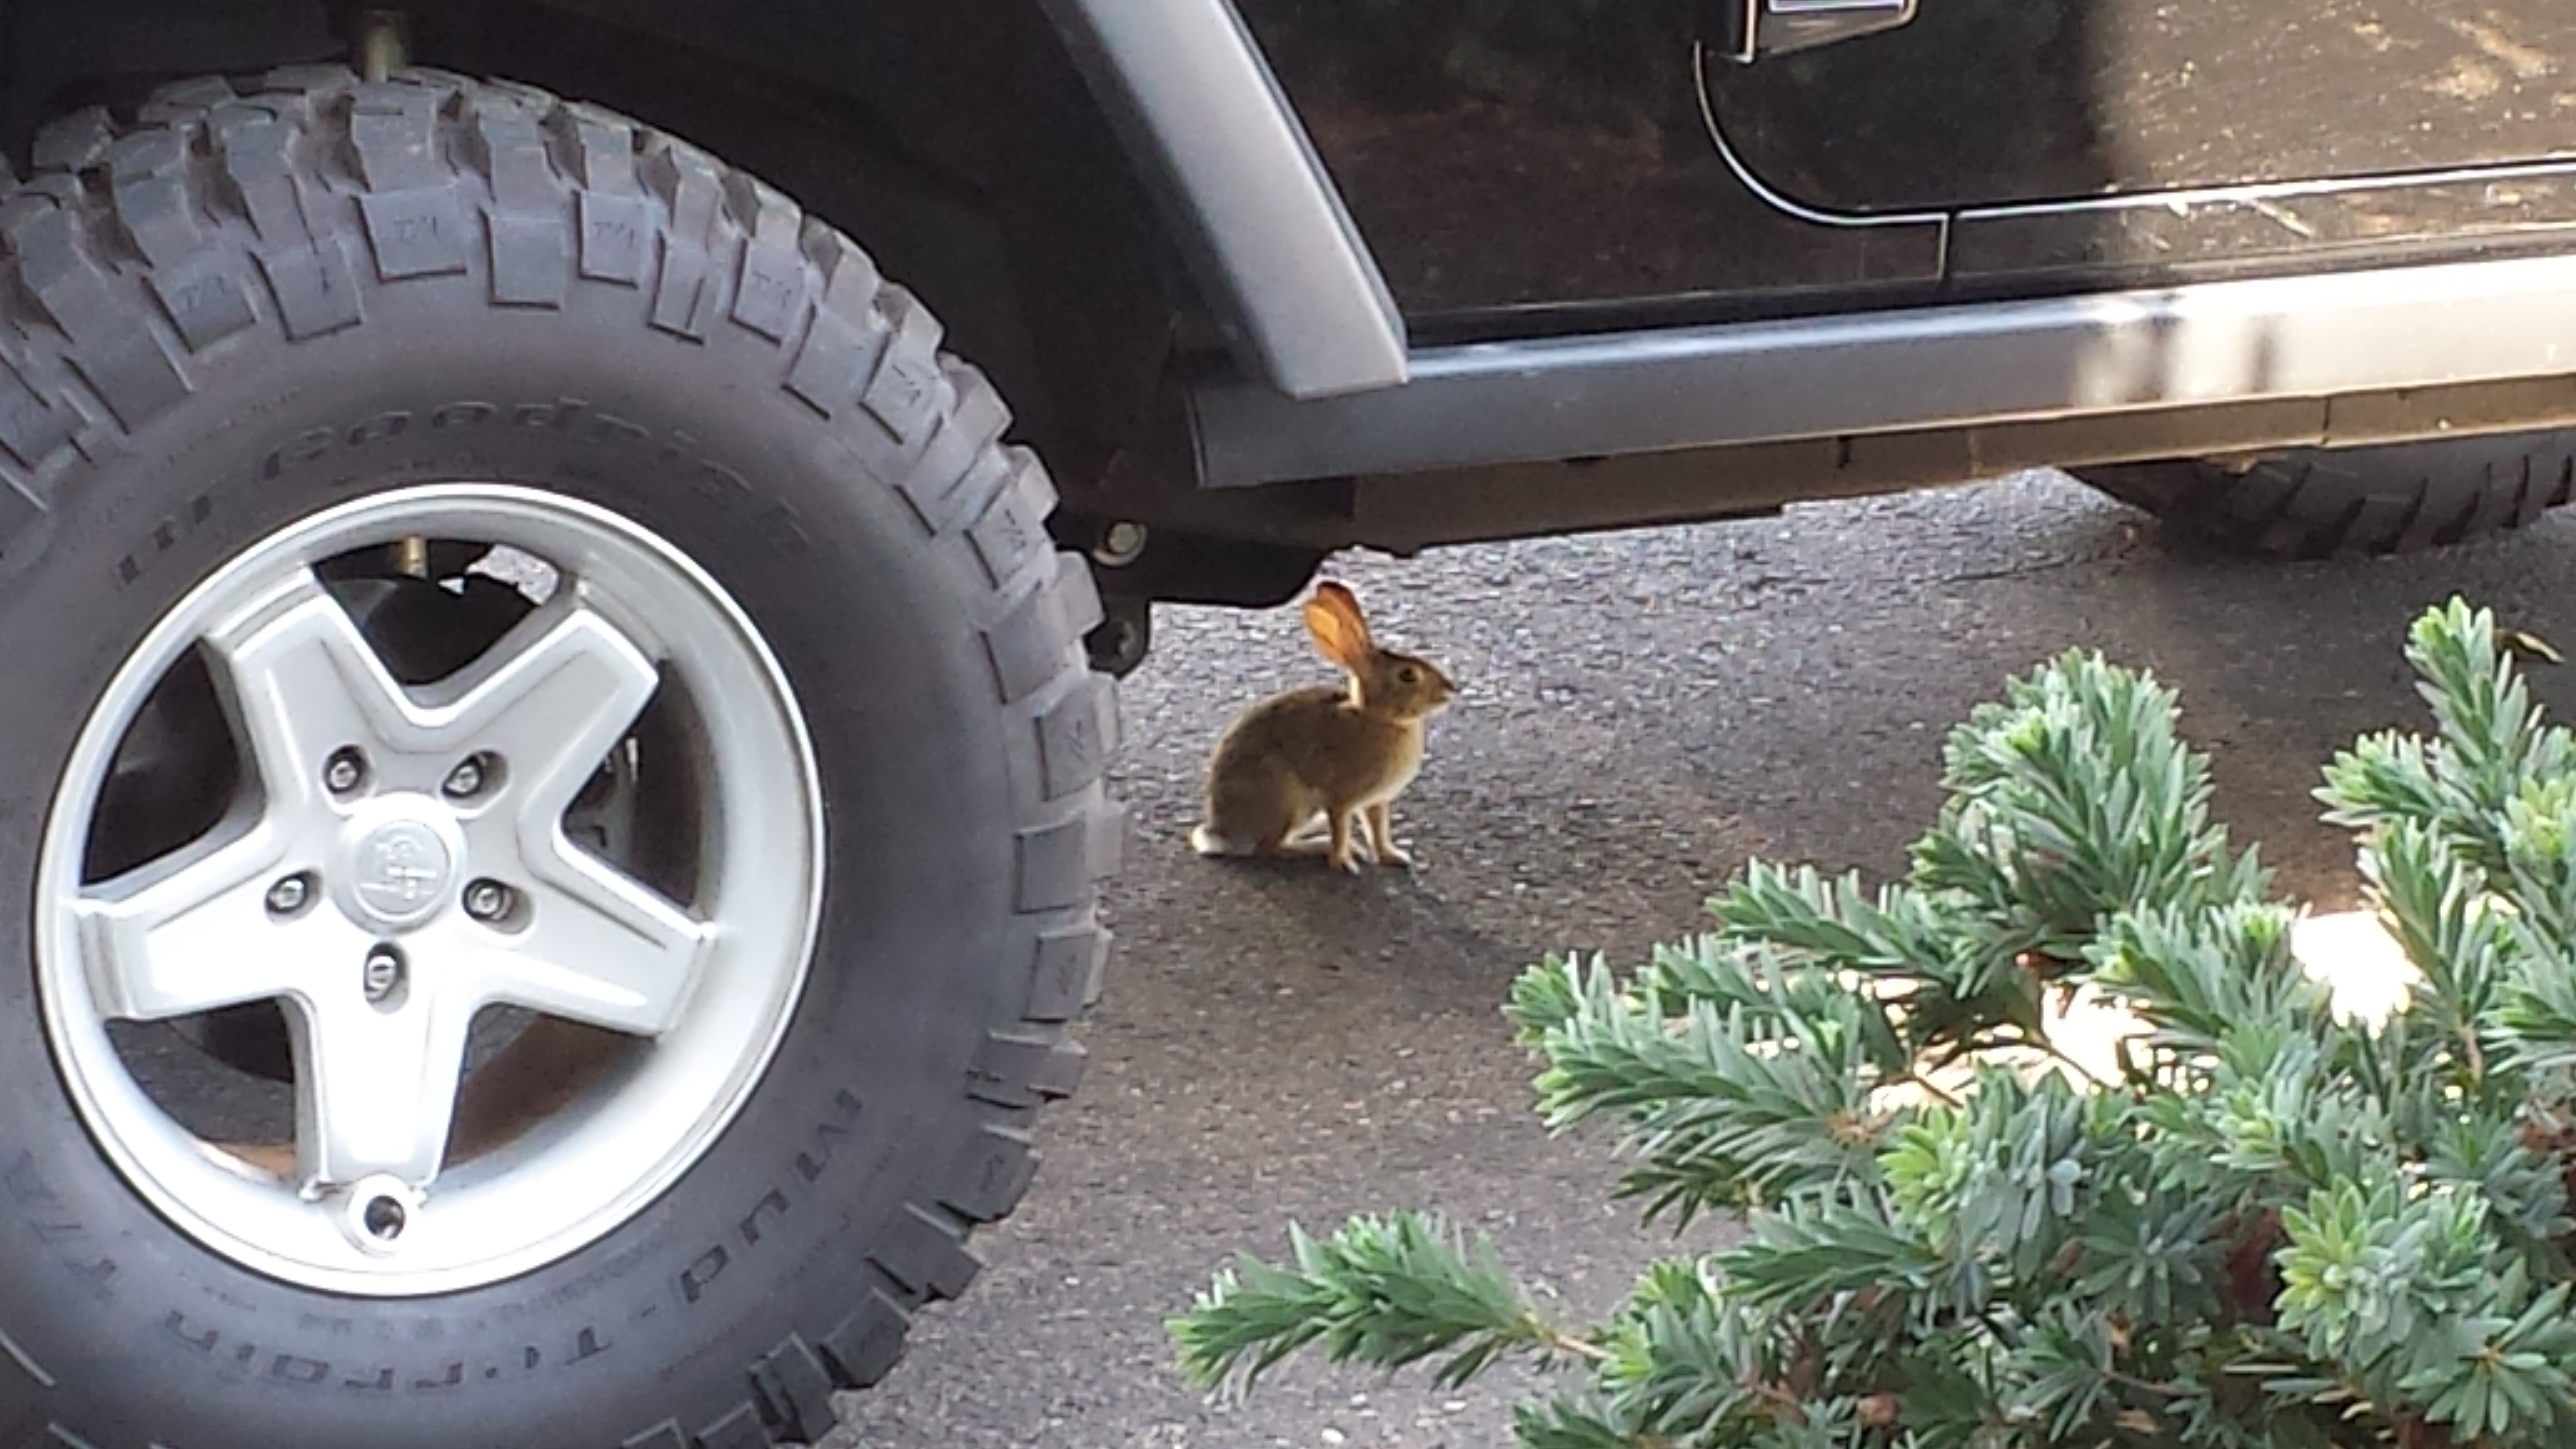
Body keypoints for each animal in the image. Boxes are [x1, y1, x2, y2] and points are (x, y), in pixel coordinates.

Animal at [1184, 575, 1453, 866]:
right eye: (1407, 675)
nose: (1450, 689)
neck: (1378, 717)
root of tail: (1222, 834)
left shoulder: (1377, 801)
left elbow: (1378, 830)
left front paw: (1394, 856)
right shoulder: (1340, 798)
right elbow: (1341, 829)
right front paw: (1342, 863)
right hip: (1285, 799)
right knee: (1271, 848)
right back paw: (1319, 847)